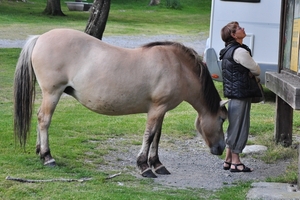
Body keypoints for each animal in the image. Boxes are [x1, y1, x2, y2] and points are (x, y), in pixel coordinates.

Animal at [12, 28, 226, 178]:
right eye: (223, 119)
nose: (221, 148)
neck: (177, 66)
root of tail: (40, 37)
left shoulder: (162, 111)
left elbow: (157, 137)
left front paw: (158, 164)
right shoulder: (156, 109)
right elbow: (149, 136)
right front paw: (144, 166)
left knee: (41, 118)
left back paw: (40, 152)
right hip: (52, 93)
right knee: (44, 119)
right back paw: (47, 156)